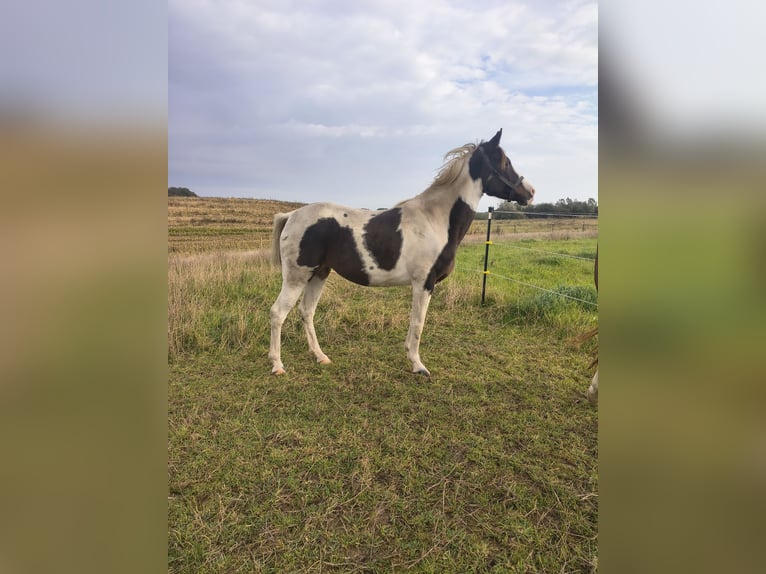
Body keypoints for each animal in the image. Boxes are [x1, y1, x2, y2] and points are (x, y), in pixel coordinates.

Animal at [268, 129, 535, 376]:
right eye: (505, 162)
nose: (530, 192)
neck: (436, 219)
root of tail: (291, 215)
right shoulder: (424, 282)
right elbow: (418, 323)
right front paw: (418, 366)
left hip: (319, 273)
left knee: (306, 312)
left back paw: (320, 357)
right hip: (297, 277)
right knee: (278, 313)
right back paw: (277, 366)